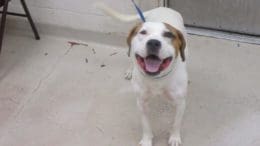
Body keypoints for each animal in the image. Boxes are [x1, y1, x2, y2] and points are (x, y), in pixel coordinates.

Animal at [95, 2, 187, 146]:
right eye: (143, 32)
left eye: (168, 34)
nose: (153, 42)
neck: (157, 79)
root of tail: (161, 8)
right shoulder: (141, 103)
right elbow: (145, 124)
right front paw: (147, 140)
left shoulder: (180, 103)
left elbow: (176, 123)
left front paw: (174, 138)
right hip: (131, 51)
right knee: (131, 57)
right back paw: (130, 70)